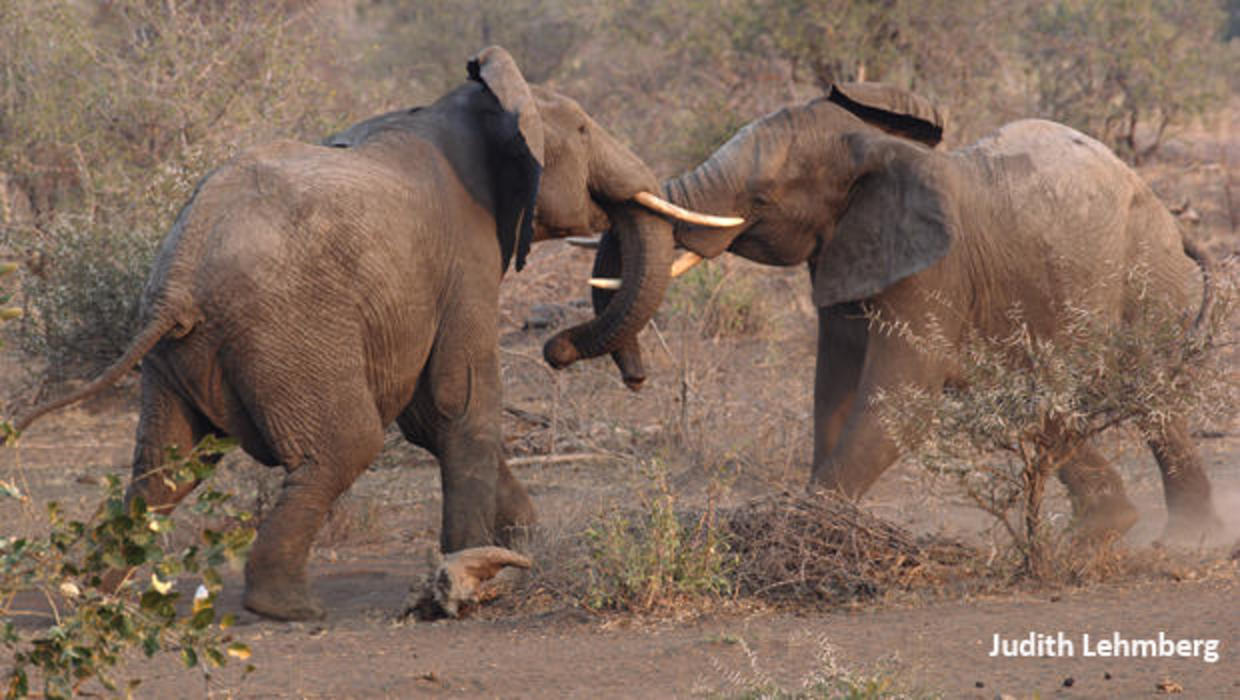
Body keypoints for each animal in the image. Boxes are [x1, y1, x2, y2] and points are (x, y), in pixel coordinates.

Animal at [14, 46, 729, 619]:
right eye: (582, 128)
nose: (560, 352)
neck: (480, 102)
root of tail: (181, 274)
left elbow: (429, 417)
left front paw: (524, 544)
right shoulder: (465, 256)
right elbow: (461, 400)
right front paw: (471, 577)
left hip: (178, 356)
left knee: (163, 469)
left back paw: (89, 593)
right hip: (289, 335)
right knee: (342, 446)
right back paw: (289, 610)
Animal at [575, 80, 1225, 540]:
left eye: (759, 198)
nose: (635, 379)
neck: (877, 148)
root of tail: (1171, 217)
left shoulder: (933, 269)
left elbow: (897, 403)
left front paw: (801, 529)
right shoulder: (844, 254)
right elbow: (834, 391)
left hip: (1144, 269)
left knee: (1148, 392)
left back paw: (1186, 542)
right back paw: (1109, 529)